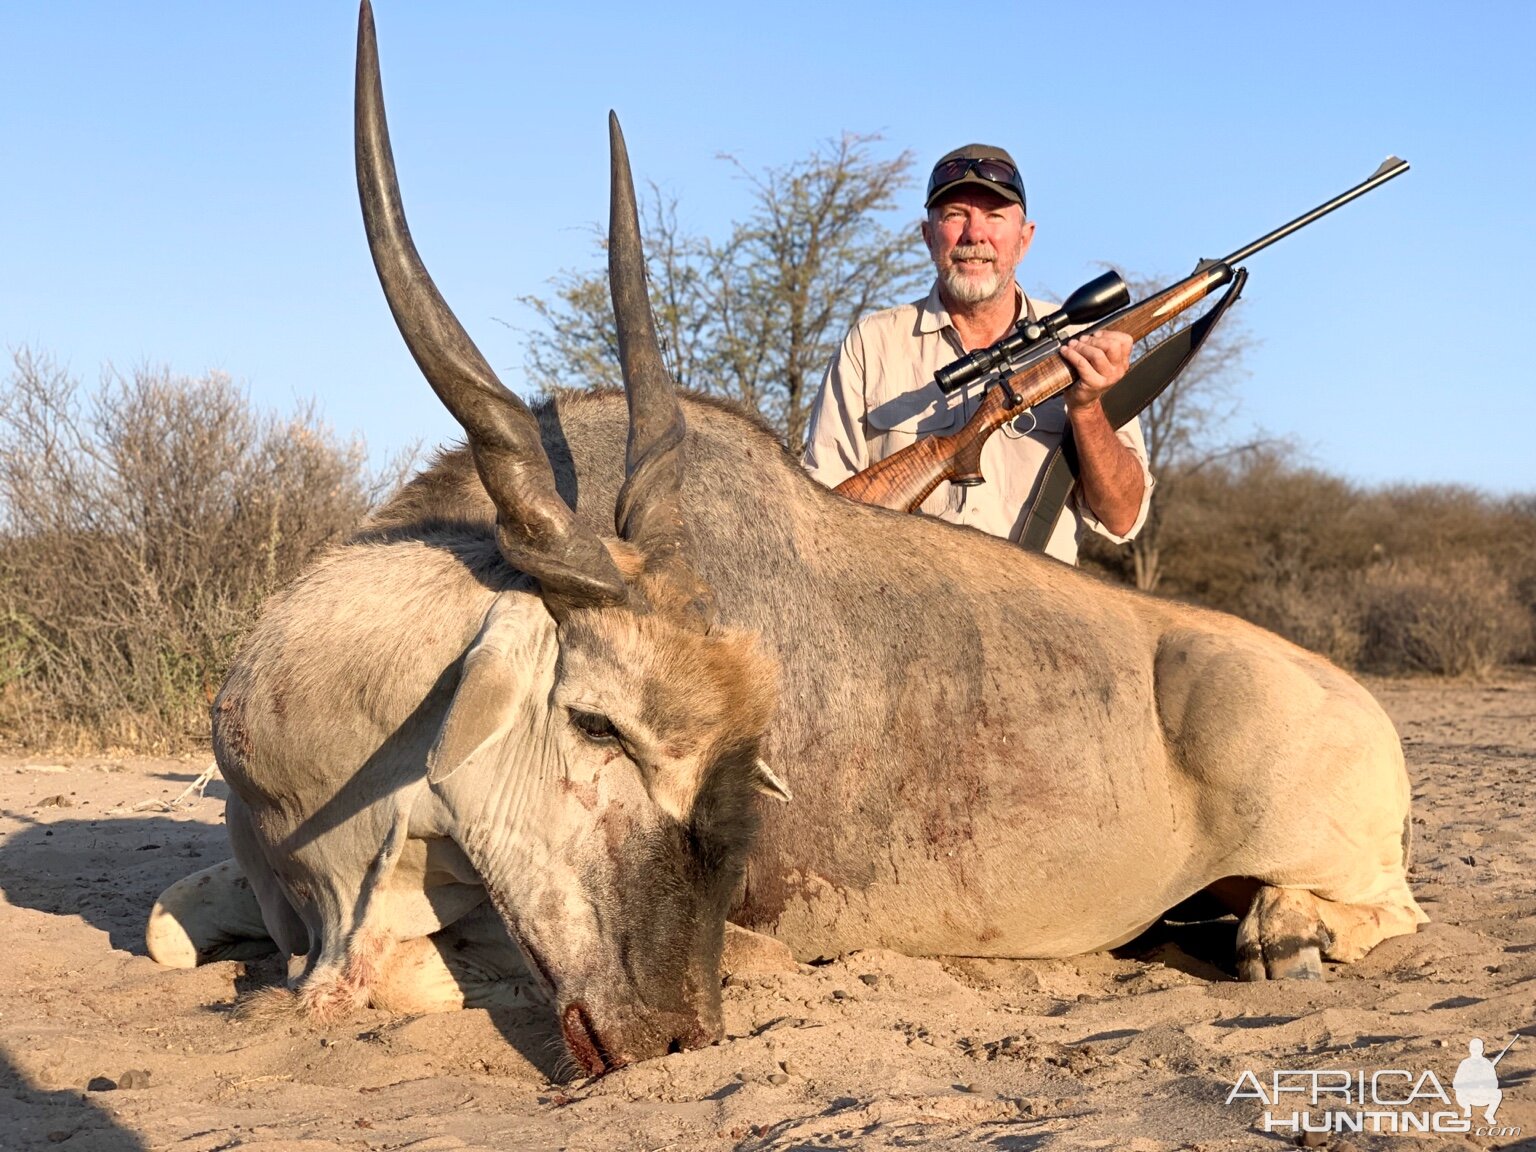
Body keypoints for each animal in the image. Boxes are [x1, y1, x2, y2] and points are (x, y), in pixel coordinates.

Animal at [144, 2, 1425, 1081]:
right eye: (597, 723)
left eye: (718, 760)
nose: (670, 1033)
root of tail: (1358, 703)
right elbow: (168, 930)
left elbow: (409, 969)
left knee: (1365, 912)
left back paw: (1284, 931)